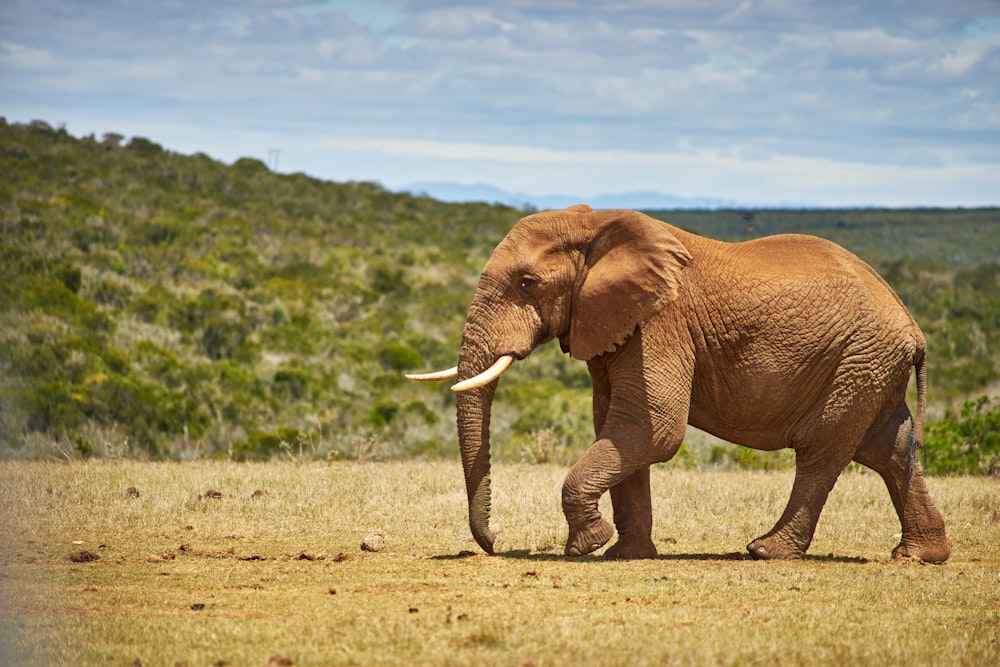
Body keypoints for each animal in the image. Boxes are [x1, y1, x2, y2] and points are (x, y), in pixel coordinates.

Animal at [408, 205, 952, 564]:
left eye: (527, 284)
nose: (494, 540)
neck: (596, 224)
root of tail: (914, 328)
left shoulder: (660, 322)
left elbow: (652, 429)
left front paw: (586, 545)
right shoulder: (615, 324)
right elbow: (617, 425)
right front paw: (626, 554)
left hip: (857, 361)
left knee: (822, 450)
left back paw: (766, 551)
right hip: (869, 366)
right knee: (889, 450)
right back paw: (919, 556)